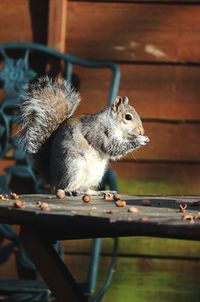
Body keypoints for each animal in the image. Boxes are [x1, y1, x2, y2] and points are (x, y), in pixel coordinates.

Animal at [17, 76, 149, 195]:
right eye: (128, 117)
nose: (141, 131)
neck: (113, 122)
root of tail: (53, 180)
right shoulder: (98, 131)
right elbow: (111, 147)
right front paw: (140, 140)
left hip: (95, 174)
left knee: (85, 189)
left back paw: (99, 192)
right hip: (73, 166)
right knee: (63, 187)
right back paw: (71, 191)